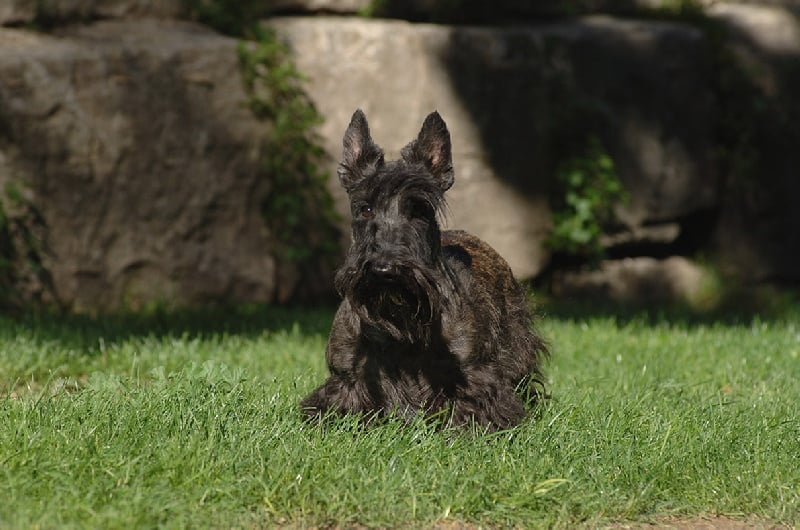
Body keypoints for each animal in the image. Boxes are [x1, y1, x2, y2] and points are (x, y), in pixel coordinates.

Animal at [302, 109, 552, 426]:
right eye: (365, 209)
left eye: (420, 209)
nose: (385, 270)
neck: (399, 324)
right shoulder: (346, 377)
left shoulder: (475, 377)